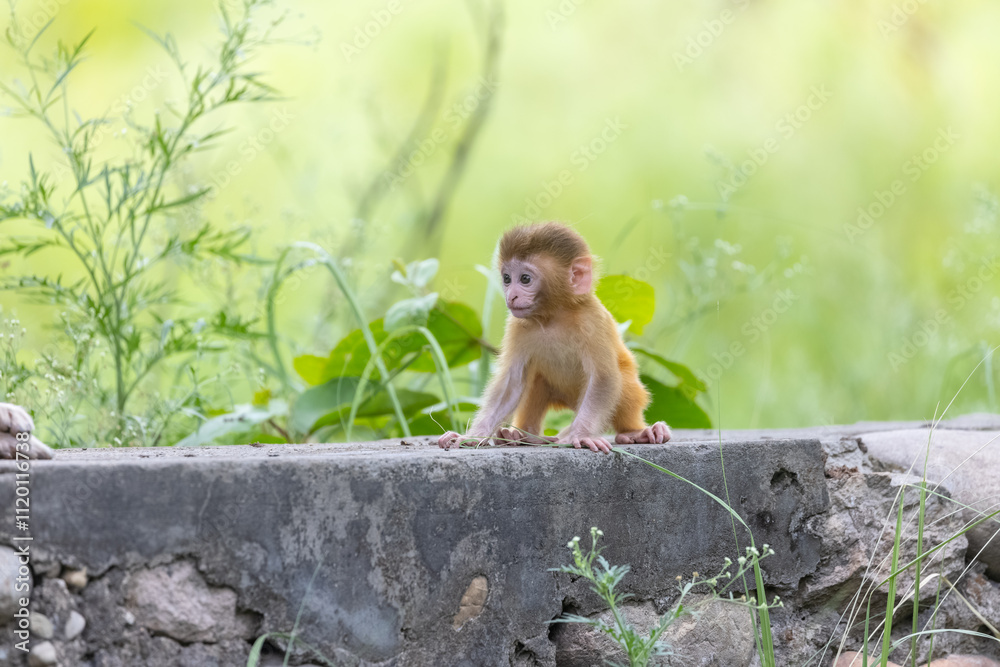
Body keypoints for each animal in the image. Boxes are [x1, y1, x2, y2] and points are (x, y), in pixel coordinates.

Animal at [438, 222, 670, 454]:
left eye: (525, 279)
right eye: (507, 279)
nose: (511, 296)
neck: (554, 317)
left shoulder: (593, 320)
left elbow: (603, 378)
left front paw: (580, 435)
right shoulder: (516, 326)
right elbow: (512, 383)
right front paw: (473, 435)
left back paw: (634, 432)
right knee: (535, 381)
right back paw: (522, 436)